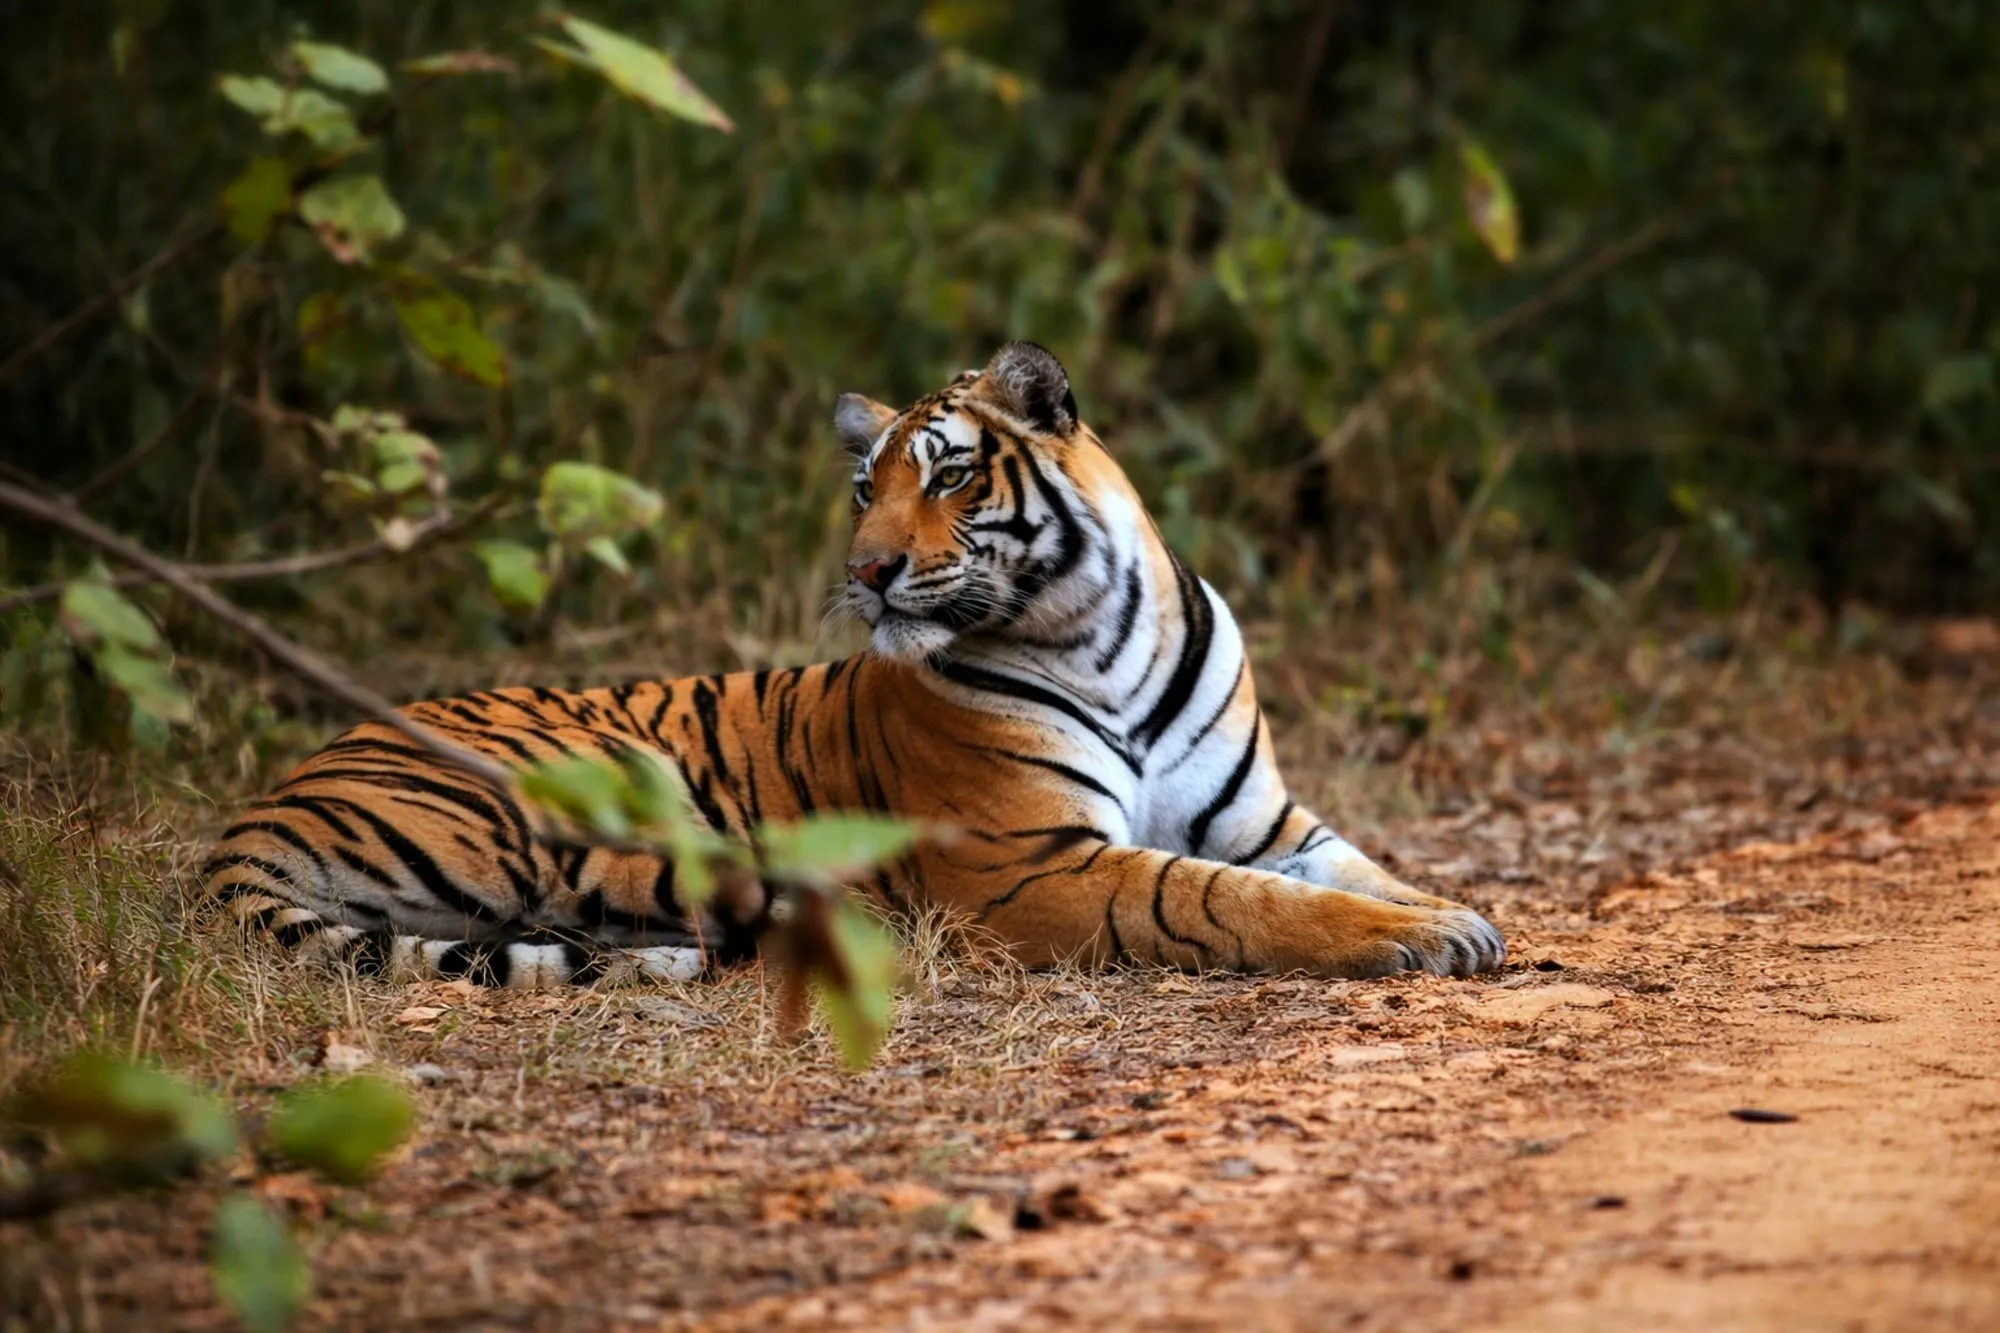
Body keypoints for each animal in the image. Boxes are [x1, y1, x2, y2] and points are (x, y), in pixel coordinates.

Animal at [202, 342, 1504, 987]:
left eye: (948, 475)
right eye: (860, 490)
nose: (867, 570)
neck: (1100, 635)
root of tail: (267, 800)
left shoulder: (1265, 818)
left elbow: (1354, 868)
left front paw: (1453, 914)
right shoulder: (1028, 866)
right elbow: (1221, 899)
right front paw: (1411, 938)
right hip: (592, 797)